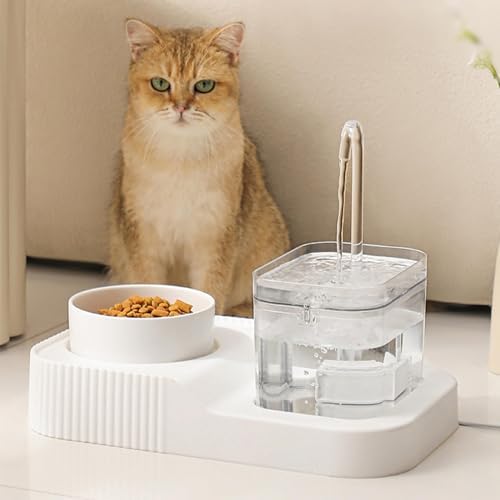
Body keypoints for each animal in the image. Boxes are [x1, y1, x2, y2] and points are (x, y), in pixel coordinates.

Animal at [109, 18, 290, 317]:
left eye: (204, 85)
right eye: (160, 83)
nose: (181, 107)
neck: (179, 162)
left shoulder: (216, 236)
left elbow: (212, 289)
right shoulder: (142, 235)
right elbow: (147, 280)